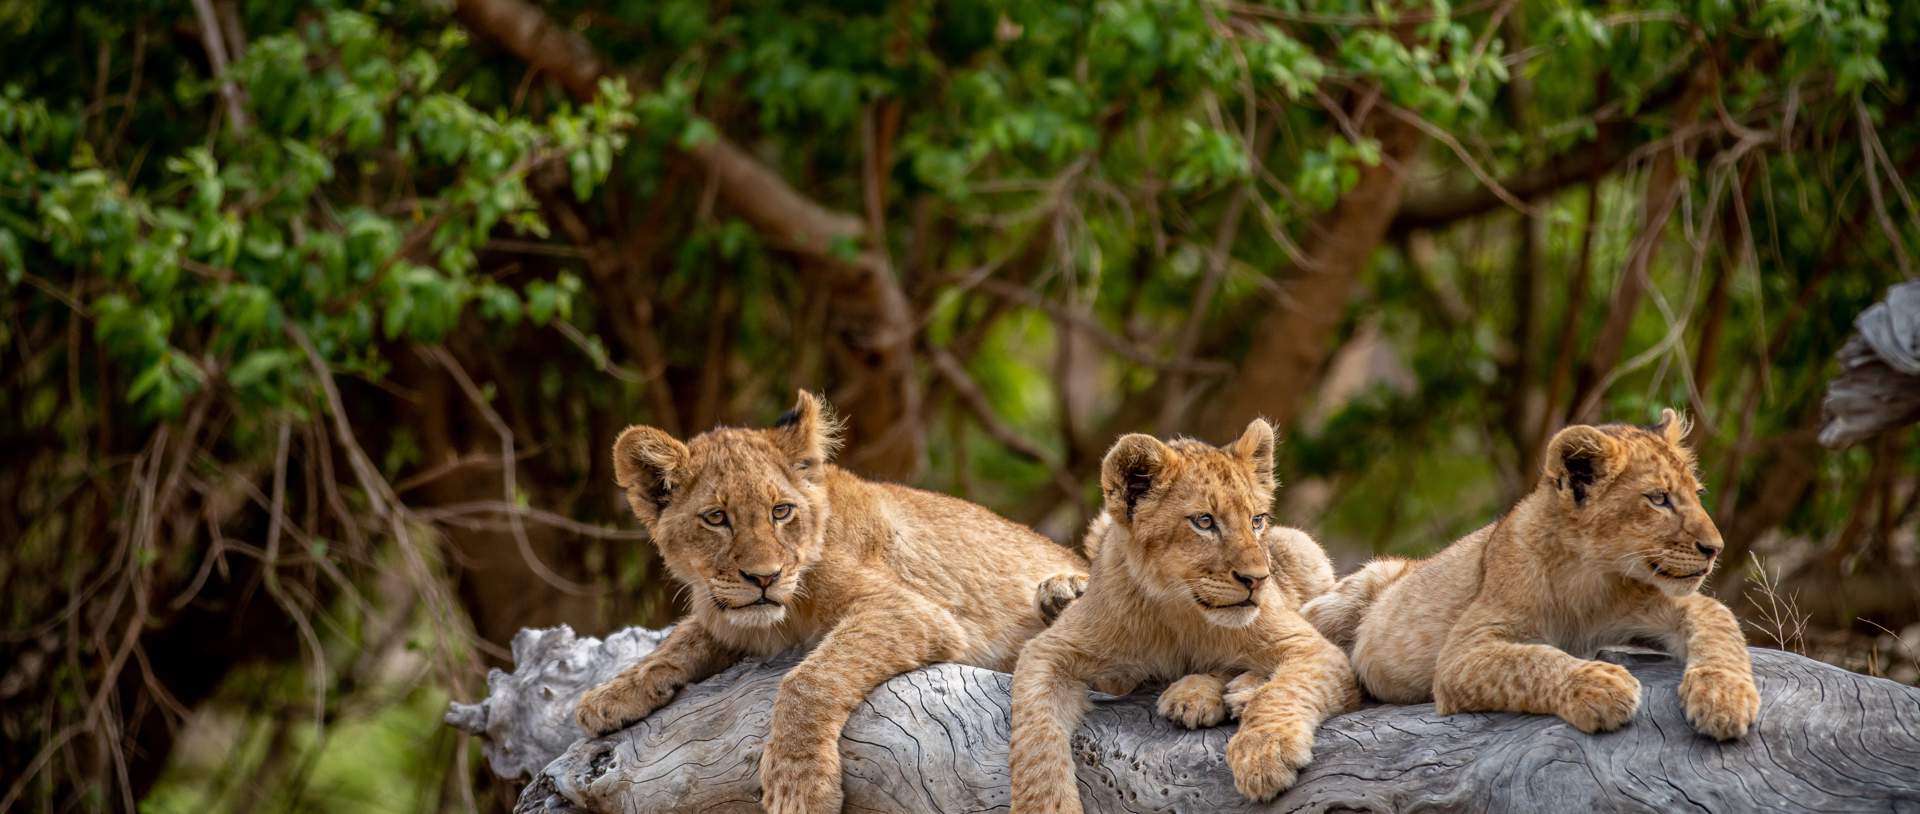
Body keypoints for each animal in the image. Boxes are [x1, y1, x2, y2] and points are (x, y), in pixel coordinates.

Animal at [574, 391, 1087, 812]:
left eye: (781, 511)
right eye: (716, 518)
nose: (764, 578)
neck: (783, 616)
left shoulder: (912, 611)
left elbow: (808, 680)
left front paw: (799, 788)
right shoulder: (730, 616)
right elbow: (680, 640)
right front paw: (610, 696)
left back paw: (1064, 592)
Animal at [1009, 421, 1359, 811]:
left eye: (1256, 521)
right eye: (1204, 522)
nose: (1258, 579)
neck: (1176, 612)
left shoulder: (1315, 648)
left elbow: (1285, 690)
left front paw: (1263, 754)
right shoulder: (1051, 650)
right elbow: (1034, 738)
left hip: (1303, 548)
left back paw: (1218, 694)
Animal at [1302, 408, 1760, 740]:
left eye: (1697, 494)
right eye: (1659, 499)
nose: (1715, 548)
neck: (1590, 577)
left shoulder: (1659, 603)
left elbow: (1719, 622)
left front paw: (1725, 695)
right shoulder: (1462, 655)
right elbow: (1532, 660)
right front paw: (1600, 685)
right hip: (1347, 597)